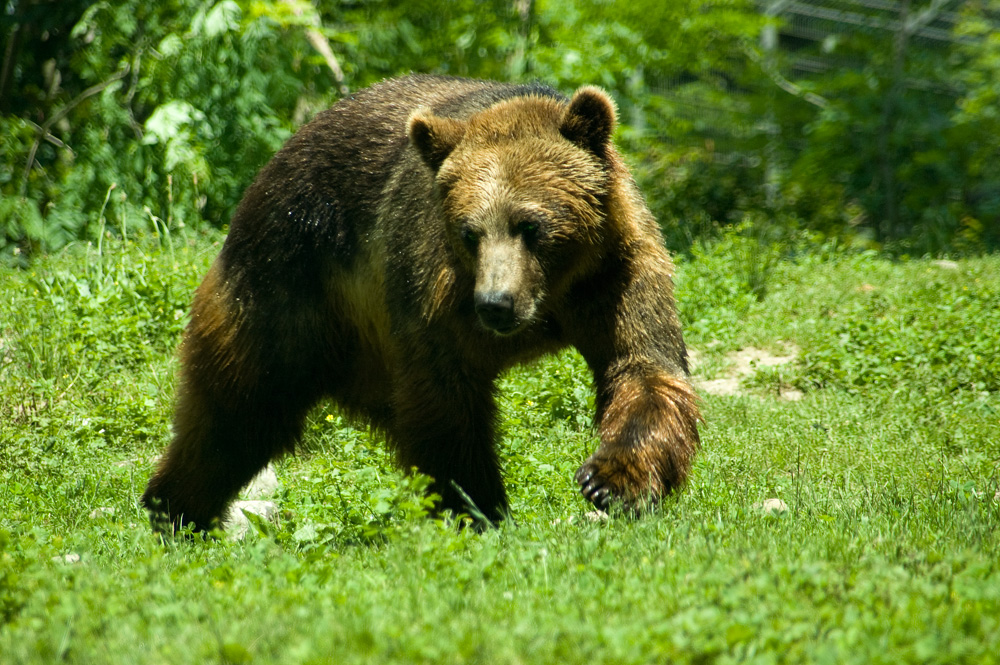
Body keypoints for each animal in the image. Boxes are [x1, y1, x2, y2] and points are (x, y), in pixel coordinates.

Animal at [143, 75, 704, 532]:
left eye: (532, 225)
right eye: (470, 233)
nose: (496, 304)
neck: (551, 299)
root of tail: (263, 177)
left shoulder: (615, 273)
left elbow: (643, 367)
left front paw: (609, 481)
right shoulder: (434, 293)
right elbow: (447, 402)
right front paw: (477, 507)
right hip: (286, 291)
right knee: (239, 411)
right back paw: (175, 510)